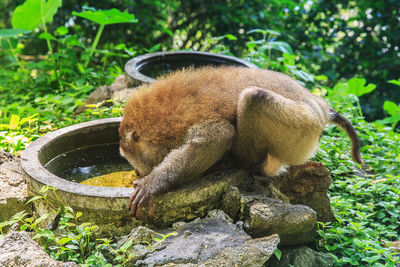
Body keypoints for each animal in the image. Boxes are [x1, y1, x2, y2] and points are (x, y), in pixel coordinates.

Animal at [117, 66, 364, 219]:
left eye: (131, 160)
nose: (137, 173)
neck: (161, 120)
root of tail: (320, 105)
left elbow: (221, 135)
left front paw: (154, 182)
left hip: (304, 125)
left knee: (253, 98)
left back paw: (242, 164)